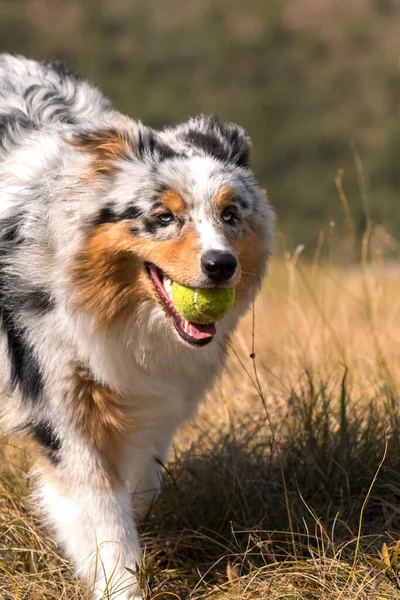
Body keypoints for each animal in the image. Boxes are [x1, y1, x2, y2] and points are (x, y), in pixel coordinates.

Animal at [0, 54, 274, 596]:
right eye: (163, 217)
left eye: (230, 214)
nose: (221, 265)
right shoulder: (60, 401)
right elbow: (103, 513)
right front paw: (121, 584)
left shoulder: (158, 392)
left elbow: (142, 481)